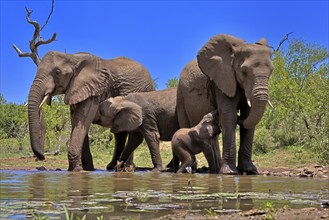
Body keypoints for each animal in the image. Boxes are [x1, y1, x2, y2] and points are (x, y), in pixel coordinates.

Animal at [177, 34, 272, 174]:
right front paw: (229, 172)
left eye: (271, 72)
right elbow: (229, 116)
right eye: (244, 72)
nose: (239, 117)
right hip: (181, 96)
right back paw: (195, 170)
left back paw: (215, 169)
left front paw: (249, 170)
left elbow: (248, 116)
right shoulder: (221, 80)